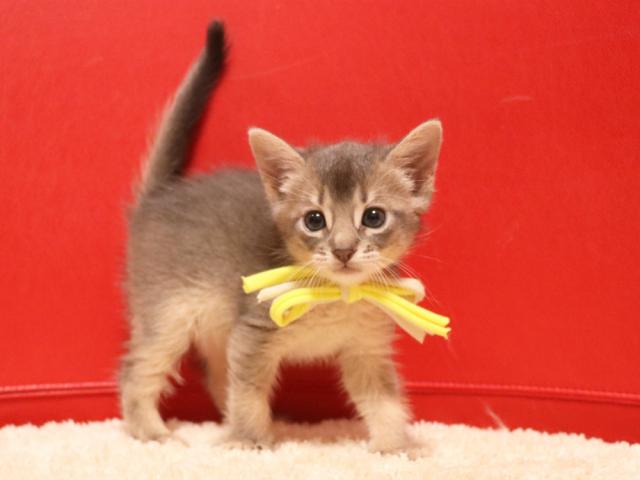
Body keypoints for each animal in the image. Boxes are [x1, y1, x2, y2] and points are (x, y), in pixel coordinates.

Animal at [119, 20, 443, 455]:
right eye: (314, 220)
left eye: (373, 217)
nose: (343, 250)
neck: (332, 297)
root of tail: (158, 197)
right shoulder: (253, 332)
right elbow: (248, 394)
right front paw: (248, 440)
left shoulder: (366, 348)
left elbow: (385, 402)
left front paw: (396, 446)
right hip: (168, 314)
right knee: (137, 372)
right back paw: (154, 433)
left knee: (216, 375)